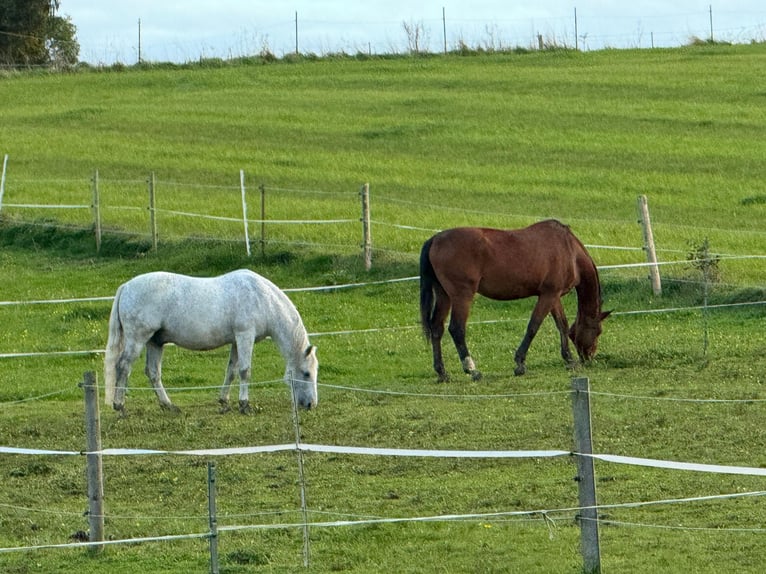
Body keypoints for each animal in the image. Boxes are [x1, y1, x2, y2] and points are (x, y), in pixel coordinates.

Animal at [103, 270, 320, 414]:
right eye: (306, 373)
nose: (311, 404)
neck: (262, 298)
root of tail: (126, 287)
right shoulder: (245, 336)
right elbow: (245, 371)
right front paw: (244, 405)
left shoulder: (236, 341)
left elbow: (231, 371)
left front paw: (224, 401)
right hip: (138, 339)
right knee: (123, 367)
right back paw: (120, 406)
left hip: (155, 342)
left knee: (153, 372)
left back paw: (169, 405)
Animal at [420, 220, 612, 382]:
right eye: (598, 331)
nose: (589, 357)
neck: (569, 250)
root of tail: (435, 239)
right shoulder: (548, 295)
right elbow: (533, 326)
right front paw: (520, 363)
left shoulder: (553, 296)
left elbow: (562, 325)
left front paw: (569, 359)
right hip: (462, 296)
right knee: (457, 329)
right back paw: (472, 370)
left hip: (444, 295)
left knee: (437, 328)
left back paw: (442, 372)